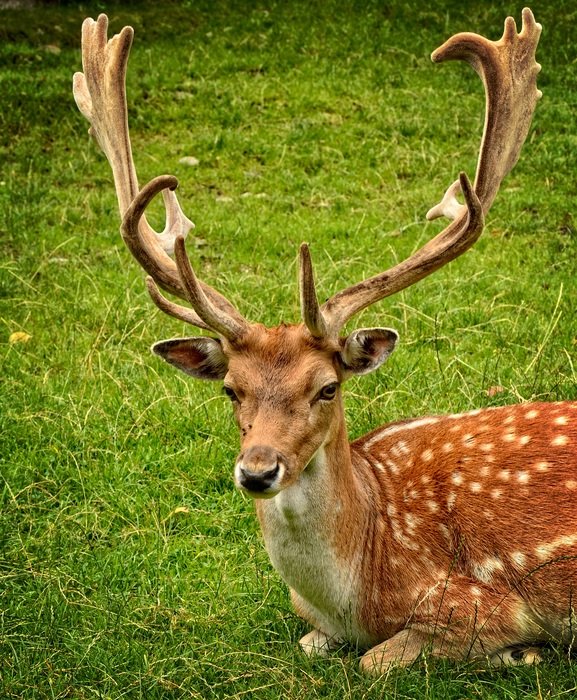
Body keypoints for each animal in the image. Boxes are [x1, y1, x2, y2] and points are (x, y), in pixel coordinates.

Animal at [73, 9, 577, 675]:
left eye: (328, 388)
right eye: (231, 390)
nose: (258, 470)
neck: (356, 593)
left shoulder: (481, 604)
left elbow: (374, 661)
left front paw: (524, 653)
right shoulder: (316, 625)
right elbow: (312, 644)